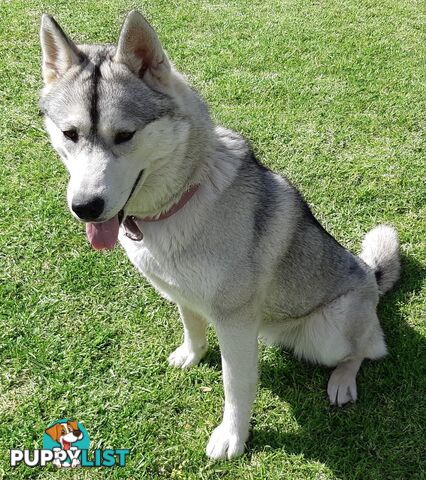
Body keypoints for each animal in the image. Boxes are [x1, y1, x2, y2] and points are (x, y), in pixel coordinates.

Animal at [39, 11, 400, 460]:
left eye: (124, 135)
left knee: (367, 349)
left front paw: (232, 436)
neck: (181, 200)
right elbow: (192, 327)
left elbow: (235, 384)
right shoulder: (182, 294)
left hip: (329, 332)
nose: (85, 206)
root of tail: (370, 274)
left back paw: (343, 380)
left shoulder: (234, 322)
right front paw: (191, 356)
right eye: (70, 134)